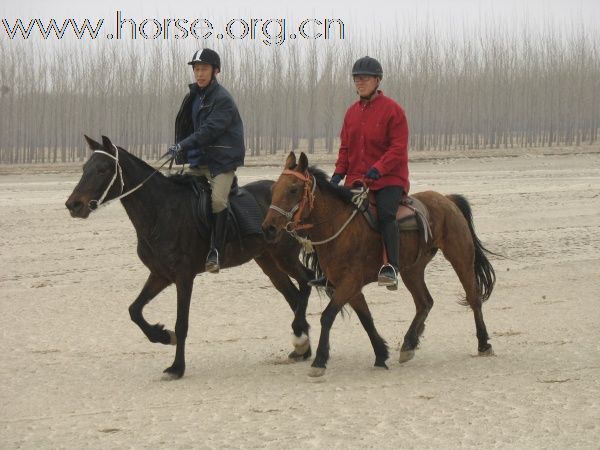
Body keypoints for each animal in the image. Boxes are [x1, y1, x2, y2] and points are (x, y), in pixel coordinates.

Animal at [67, 135, 314, 378]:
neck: (161, 211)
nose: (73, 205)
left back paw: (302, 338)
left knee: (307, 281)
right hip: (268, 261)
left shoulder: (183, 277)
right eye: (85, 168)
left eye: (103, 170)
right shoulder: (160, 275)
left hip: (286, 257)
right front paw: (162, 335)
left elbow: (181, 324)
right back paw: (302, 346)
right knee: (293, 296)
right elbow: (134, 310)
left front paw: (177, 367)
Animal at [260, 153, 494, 378]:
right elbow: (366, 319)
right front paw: (381, 354)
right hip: (412, 269)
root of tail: (447, 199)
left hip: (460, 257)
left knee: (473, 298)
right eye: (273, 189)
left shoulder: (350, 282)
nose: (268, 228)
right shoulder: (349, 287)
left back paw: (483, 343)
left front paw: (319, 361)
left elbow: (327, 316)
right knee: (424, 302)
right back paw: (409, 344)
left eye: (293, 189)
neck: (339, 226)